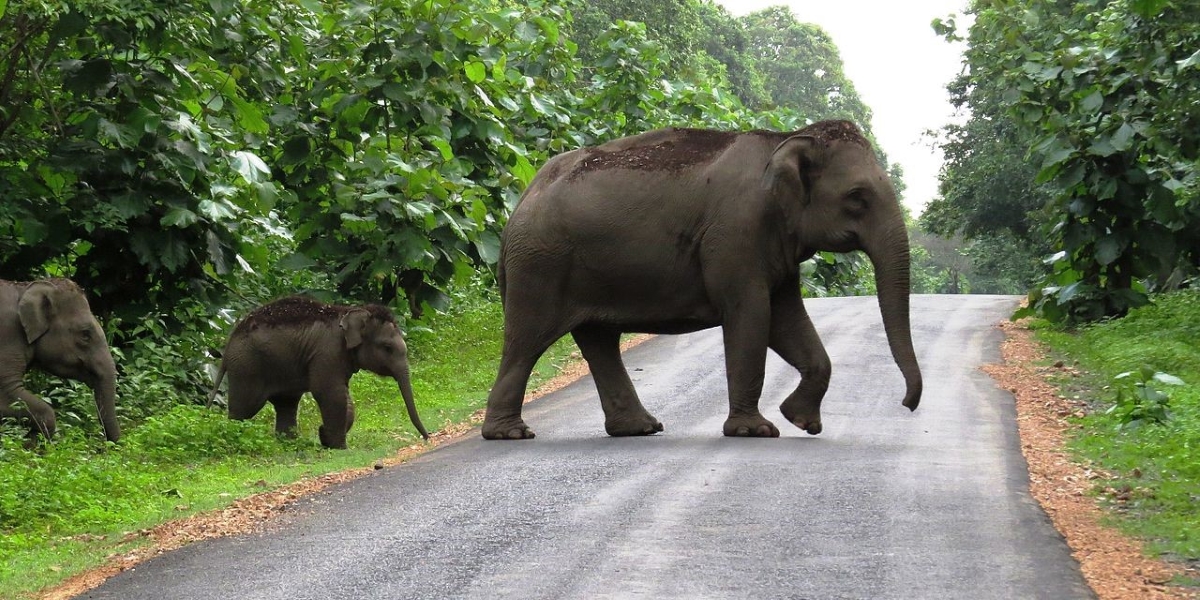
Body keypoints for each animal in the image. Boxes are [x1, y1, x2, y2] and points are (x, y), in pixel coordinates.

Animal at [208, 296, 430, 448]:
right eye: (387, 347)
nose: (427, 437)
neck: (348, 312)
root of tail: (229, 343)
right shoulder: (327, 352)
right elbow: (330, 393)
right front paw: (339, 447)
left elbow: (344, 397)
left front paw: (326, 438)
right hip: (247, 368)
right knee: (243, 409)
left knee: (286, 404)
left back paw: (290, 444)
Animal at [482, 119, 922, 440]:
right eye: (857, 198)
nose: (907, 405)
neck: (786, 138)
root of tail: (522, 197)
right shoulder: (735, 234)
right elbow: (751, 315)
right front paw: (755, 431)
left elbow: (787, 320)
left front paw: (801, 421)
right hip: (540, 265)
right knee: (527, 341)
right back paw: (510, 434)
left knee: (598, 341)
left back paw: (640, 429)